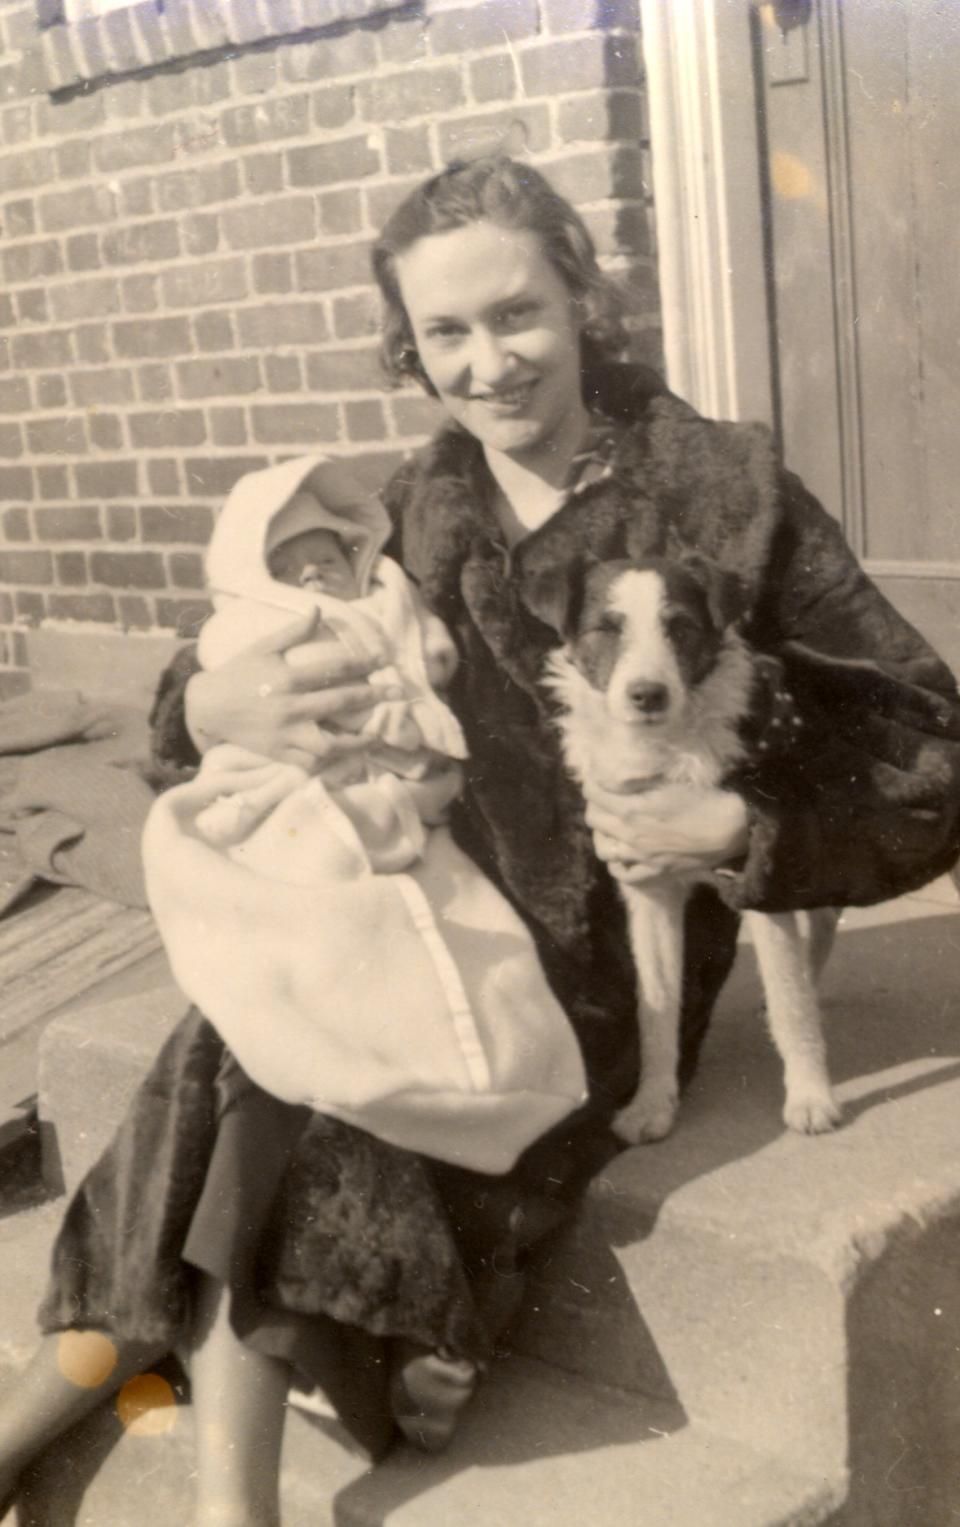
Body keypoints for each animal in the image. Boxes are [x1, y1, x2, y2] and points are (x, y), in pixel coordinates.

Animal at [525, 552, 836, 1148]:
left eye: (681, 628)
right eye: (607, 629)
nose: (648, 694)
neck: (667, 750)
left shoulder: (757, 881)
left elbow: (792, 1009)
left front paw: (811, 1097)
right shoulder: (649, 896)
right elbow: (657, 1007)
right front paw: (651, 1105)